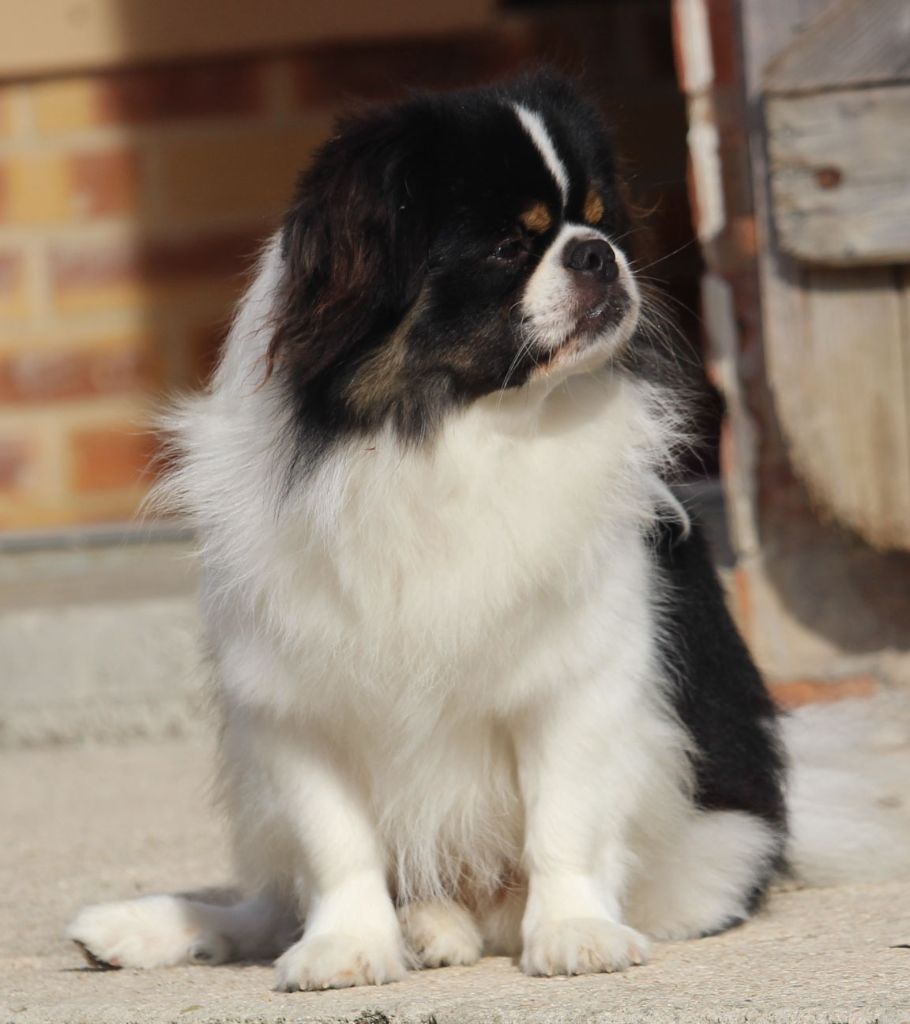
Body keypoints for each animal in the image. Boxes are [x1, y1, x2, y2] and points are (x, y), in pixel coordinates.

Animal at [67, 73, 904, 992]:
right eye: (509, 246)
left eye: (600, 219)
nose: (595, 252)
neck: (458, 429)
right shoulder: (295, 701)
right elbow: (337, 846)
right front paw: (346, 947)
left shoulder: (574, 682)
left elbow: (563, 822)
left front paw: (575, 933)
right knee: (267, 906)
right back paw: (163, 930)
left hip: (712, 854)